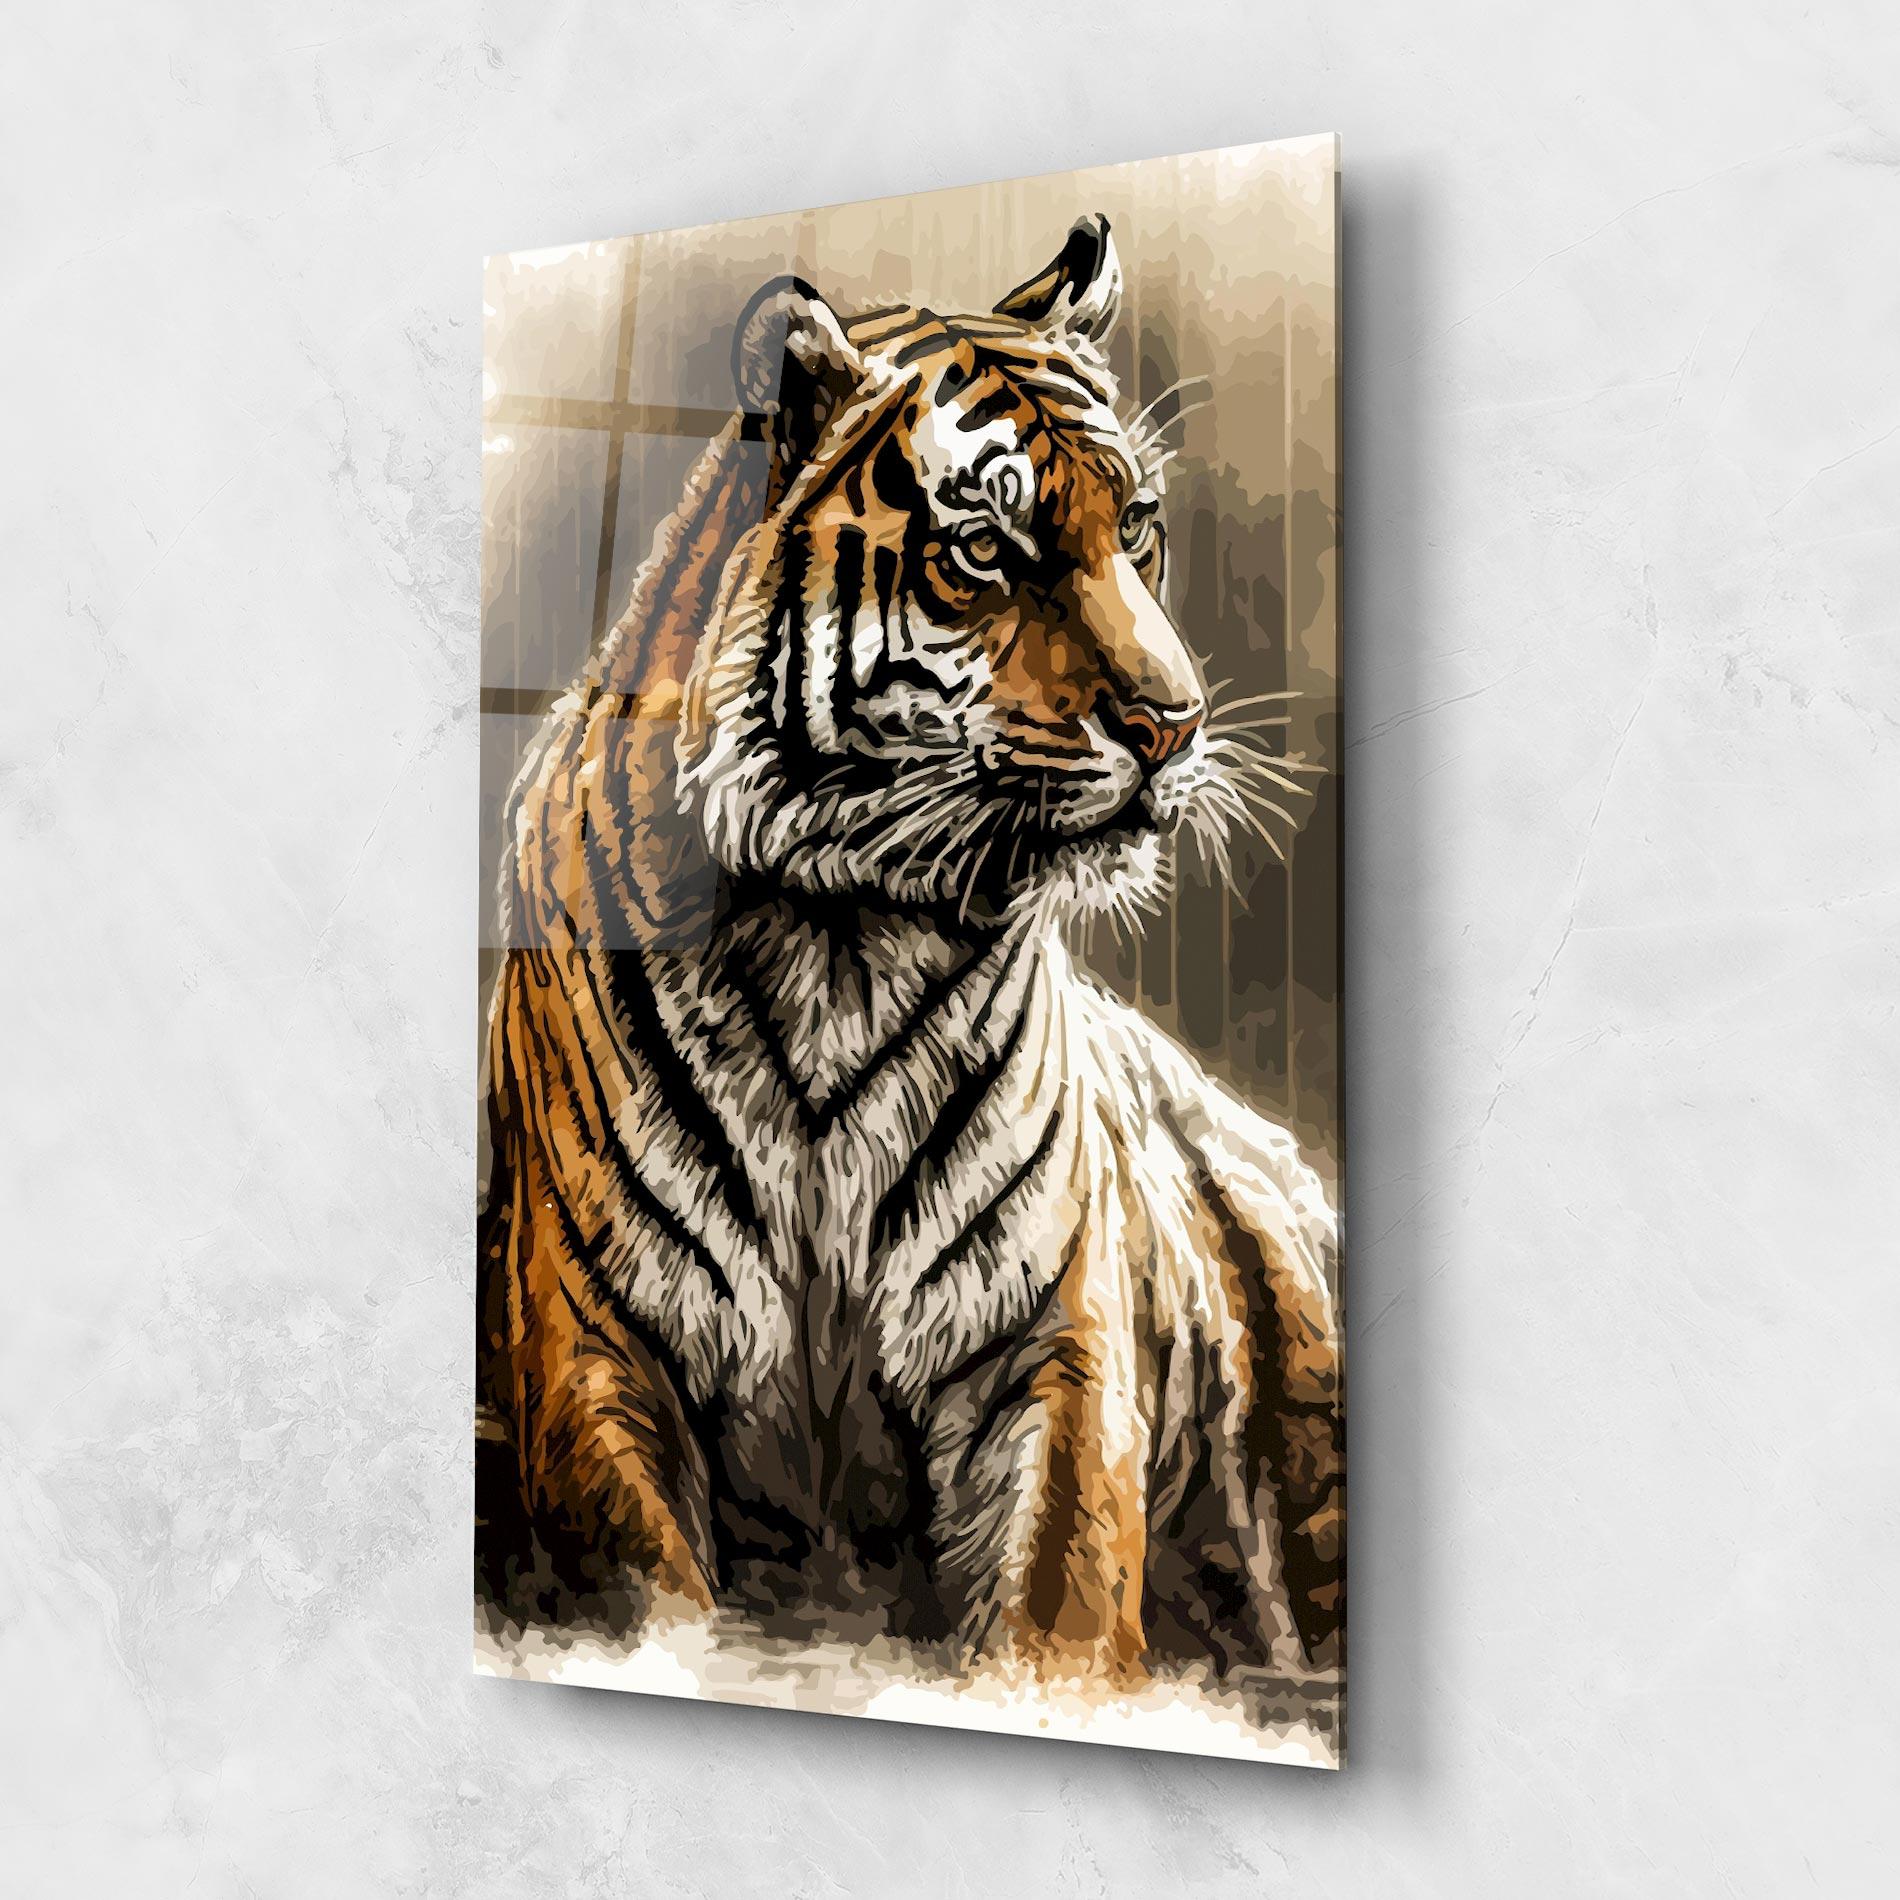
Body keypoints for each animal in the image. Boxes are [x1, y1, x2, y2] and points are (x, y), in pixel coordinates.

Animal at [476, 214, 1342, 1692]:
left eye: (1139, 529)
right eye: (986, 548)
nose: (1173, 724)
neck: (843, 931)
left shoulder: (1052, 1347)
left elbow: (1054, 1611)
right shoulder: (595, 1345)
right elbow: (657, 1604)